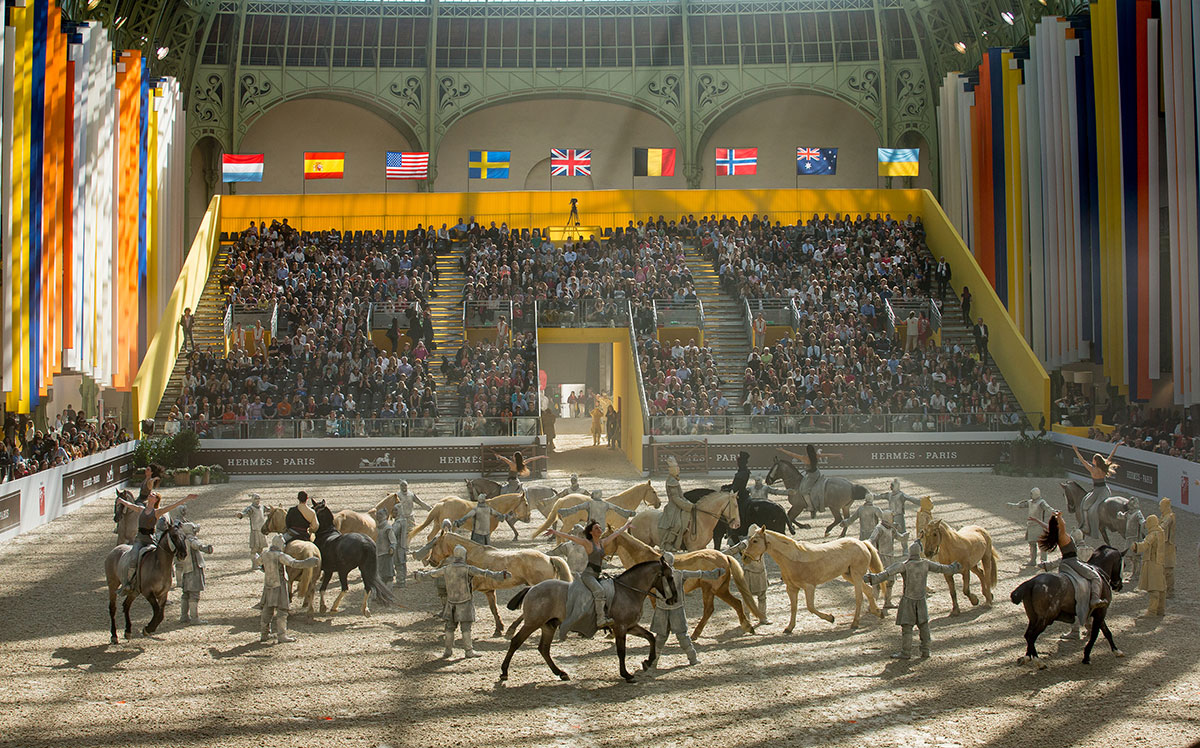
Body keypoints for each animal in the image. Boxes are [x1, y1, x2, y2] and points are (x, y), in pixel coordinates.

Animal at [424, 525, 573, 638]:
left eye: (435, 544)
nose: (431, 561)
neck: (470, 555)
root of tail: (549, 558)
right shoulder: (489, 591)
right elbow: (494, 609)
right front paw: (498, 629)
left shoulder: (469, 589)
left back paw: (512, 629)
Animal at [501, 557, 681, 686]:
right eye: (671, 577)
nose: (674, 599)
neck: (627, 591)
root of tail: (532, 588)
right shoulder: (621, 628)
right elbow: (621, 651)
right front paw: (626, 674)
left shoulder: (630, 626)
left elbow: (650, 637)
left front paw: (648, 661)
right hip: (532, 623)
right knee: (516, 642)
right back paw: (504, 671)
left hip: (549, 626)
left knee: (544, 649)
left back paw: (561, 673)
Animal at [535, 482, 667, 540]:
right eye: (653, 491)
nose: (659, 503)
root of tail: (562, 499)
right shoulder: (617, 525)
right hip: (569, 523)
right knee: (561, 534)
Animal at [609, 525, 758, 638]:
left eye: (605, 537)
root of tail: (724, 556)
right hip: (720, 589)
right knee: (736, 603)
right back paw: (747, 627)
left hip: (710, 589)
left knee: (710, 609)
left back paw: (696, 634)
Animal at [739, 525, 883, 633]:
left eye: (755, 541)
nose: (745, 558)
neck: (792, 558)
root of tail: (862, 543)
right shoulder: (791, 588)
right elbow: (794, 607)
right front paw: (789, 628)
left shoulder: (809, 587)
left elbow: (810, 607)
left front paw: (831, 618)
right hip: (848, 575)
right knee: (868, 590)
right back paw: (877, 612)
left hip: (856, 575)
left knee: (859, 597)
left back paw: (855, 623)